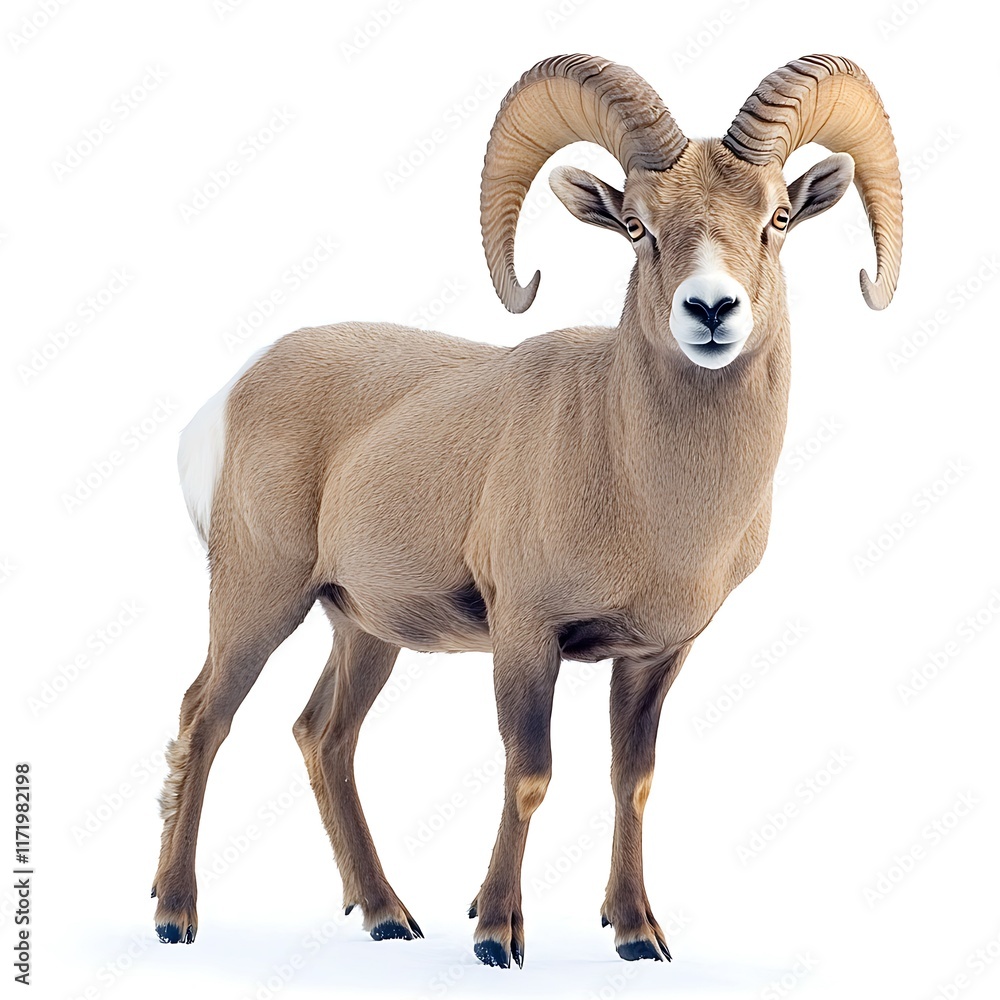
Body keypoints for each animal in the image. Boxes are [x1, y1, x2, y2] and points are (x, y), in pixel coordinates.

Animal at [152, 53, 902, 968]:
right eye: (637, 226)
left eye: (778, 217)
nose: (711, 310)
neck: (645, 493)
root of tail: (228, 399)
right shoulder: (524, 637)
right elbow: (529, 774)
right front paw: (496, 934)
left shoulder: (654, 657)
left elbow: (632, 780)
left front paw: (636, 933)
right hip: (259, 598)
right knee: (205, 720)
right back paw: (175, 916)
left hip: (362, 629)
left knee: (323, 737)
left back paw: (387, 916)